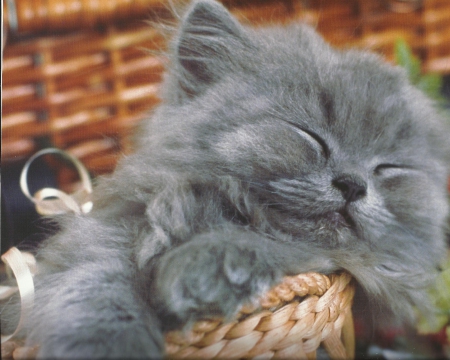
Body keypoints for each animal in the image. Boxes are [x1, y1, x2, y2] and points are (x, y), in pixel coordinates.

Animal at [26, 0, 448, 358]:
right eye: (309, 136)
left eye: (387, 168)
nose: (353, 184)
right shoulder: (110, 231)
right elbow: (95, 288)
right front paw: (108, 344)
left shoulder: (340, 261)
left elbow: (271, 242)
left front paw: (194, 272)